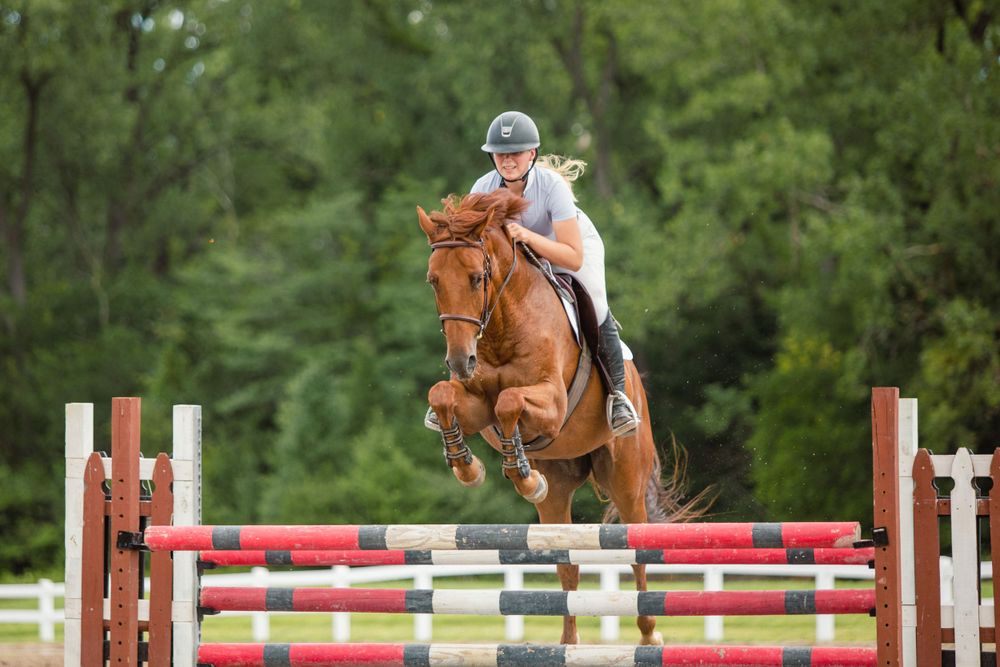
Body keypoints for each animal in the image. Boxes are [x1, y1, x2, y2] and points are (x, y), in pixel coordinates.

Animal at [418, 188, 696, 645]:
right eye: (433, 281)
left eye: (476, 277)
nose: (460, 361)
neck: (502, 325)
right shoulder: (475, 406)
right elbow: (444, 395)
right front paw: (470, 467)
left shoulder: (551, 405)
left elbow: (509, 401)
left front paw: (517, 471)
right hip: (560, 489)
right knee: (566, 561)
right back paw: (568, 642)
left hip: (627, 480)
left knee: (636, 551)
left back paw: (648, 635)